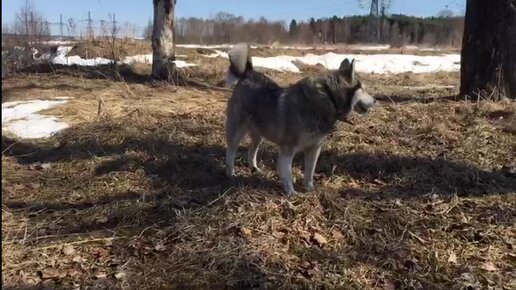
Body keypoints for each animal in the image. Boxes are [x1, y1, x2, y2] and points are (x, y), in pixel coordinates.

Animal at [224, 43, 372, 195]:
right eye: (363, 89)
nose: (375, 100)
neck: (328, 98)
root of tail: (248, 73)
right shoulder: (288, 149)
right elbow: (287, 173)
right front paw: (291, 193)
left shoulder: (314, 149)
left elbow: (309, 172)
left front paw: (309, 188)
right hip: (236, 130)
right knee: (231, 151)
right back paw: (231, 173)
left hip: (259, 133)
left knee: (252, 149)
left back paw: (254, 168)